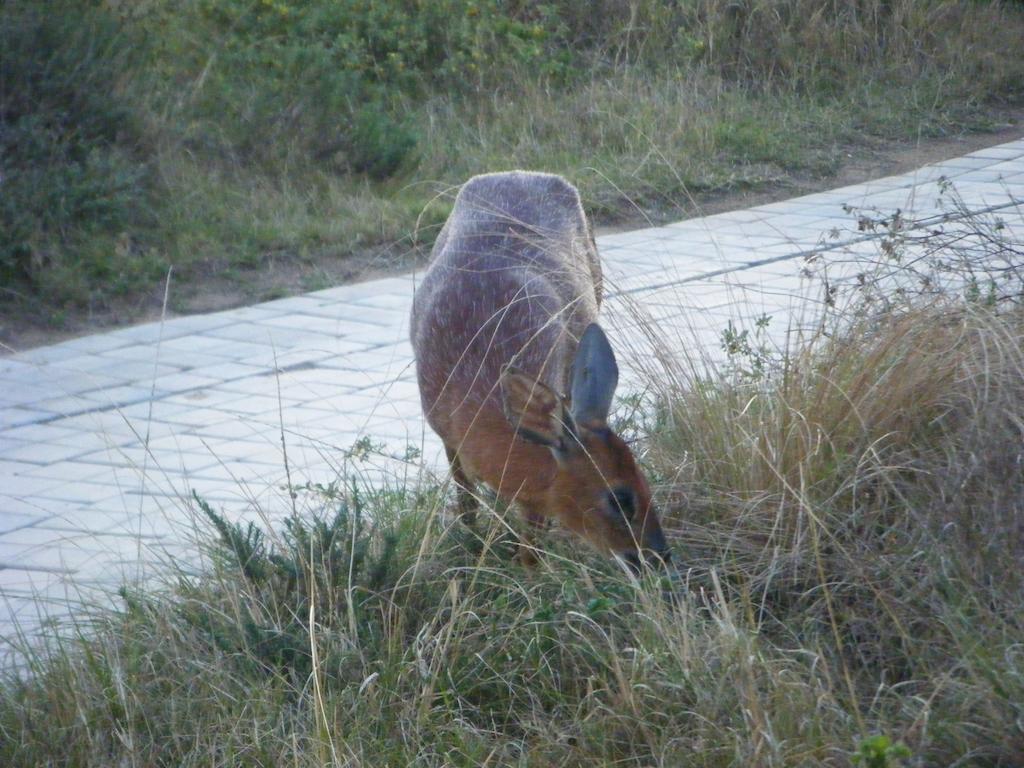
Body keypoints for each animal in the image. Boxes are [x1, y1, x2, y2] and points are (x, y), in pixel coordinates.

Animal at [409, 173, 671, 573]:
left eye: (645, 478)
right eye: (620, 498)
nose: (659, 555)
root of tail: (520, 174)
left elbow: (531, 526)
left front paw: (529, 567)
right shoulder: (443, 432)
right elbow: (466, 499)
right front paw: (472, 544)